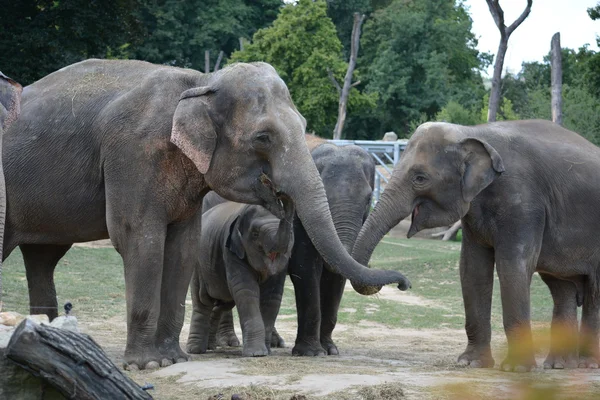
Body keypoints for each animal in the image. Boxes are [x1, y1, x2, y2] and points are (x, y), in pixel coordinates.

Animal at [185, 194, 292, 356]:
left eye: (292, 233)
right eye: (255, 234)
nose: (284, 197)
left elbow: (272, 296)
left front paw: (266, 351)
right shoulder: (231, 250)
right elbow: (246, 290)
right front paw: (256, 353)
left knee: (223, 303)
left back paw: (210, 346)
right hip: (198, 265)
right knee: (202, 301)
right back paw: (195, 350)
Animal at [352, 119, 600, 372]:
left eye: (420, 178)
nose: (405, 284)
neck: (472, 132)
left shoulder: (524, 204)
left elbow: (512, 266)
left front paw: (516, 369)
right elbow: (472, 269)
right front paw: (471, 363)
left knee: (593, 292)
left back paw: (587, 364)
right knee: (561, 288)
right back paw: (558, 366)